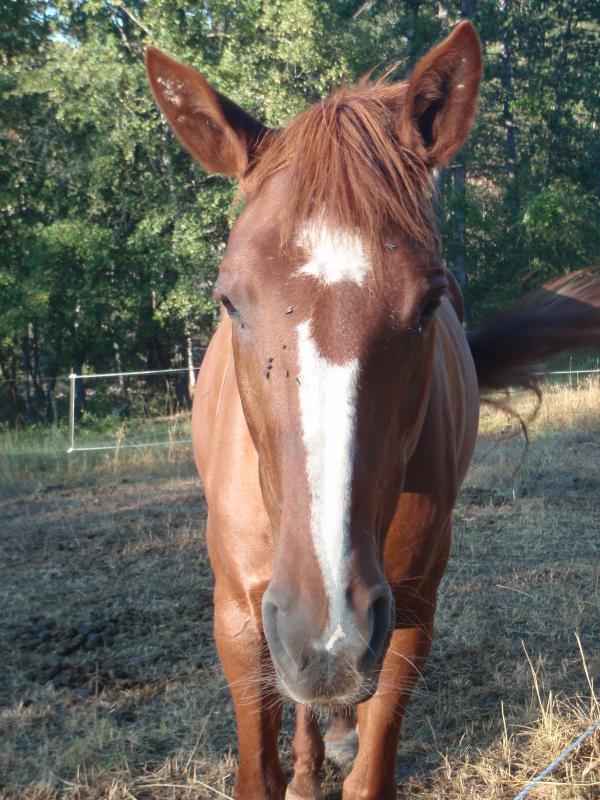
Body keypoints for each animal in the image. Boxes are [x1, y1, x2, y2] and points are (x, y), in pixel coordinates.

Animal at [148, 21, 600, 796]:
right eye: (229, 300)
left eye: (429, 302)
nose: (328, 632)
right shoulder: (239, 617)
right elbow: (258, 763)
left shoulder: (410, 611)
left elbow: (373, 763)